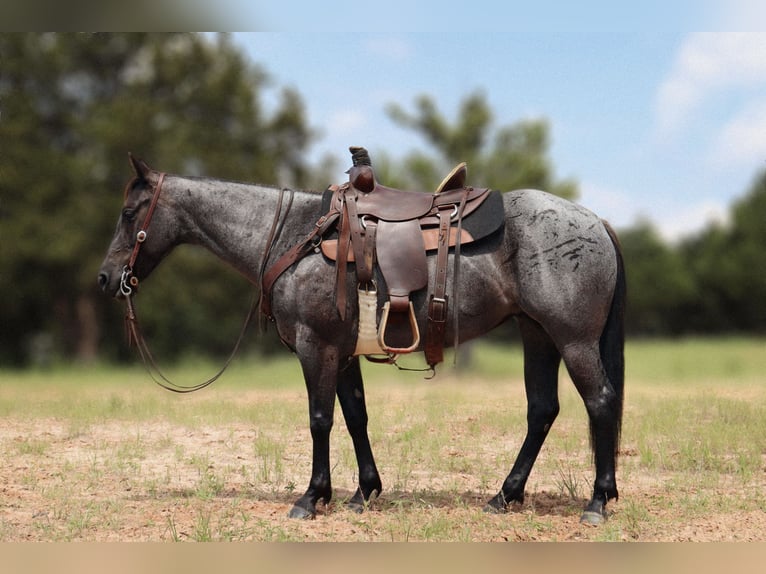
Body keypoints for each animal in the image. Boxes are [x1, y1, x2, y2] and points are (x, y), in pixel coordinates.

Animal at [99, 155, 628, 528]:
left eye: (127, 213)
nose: (106, 278)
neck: (295, 236)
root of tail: (596, 220)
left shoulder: (316, 347)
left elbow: (320, 420)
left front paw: (311, 497)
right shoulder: (342, 352)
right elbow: (355, 416)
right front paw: (363, 491)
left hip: (573, 339)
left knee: (600, 402)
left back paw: (597, 501)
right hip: (536, 334)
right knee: (542, 410)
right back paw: (504, 495)